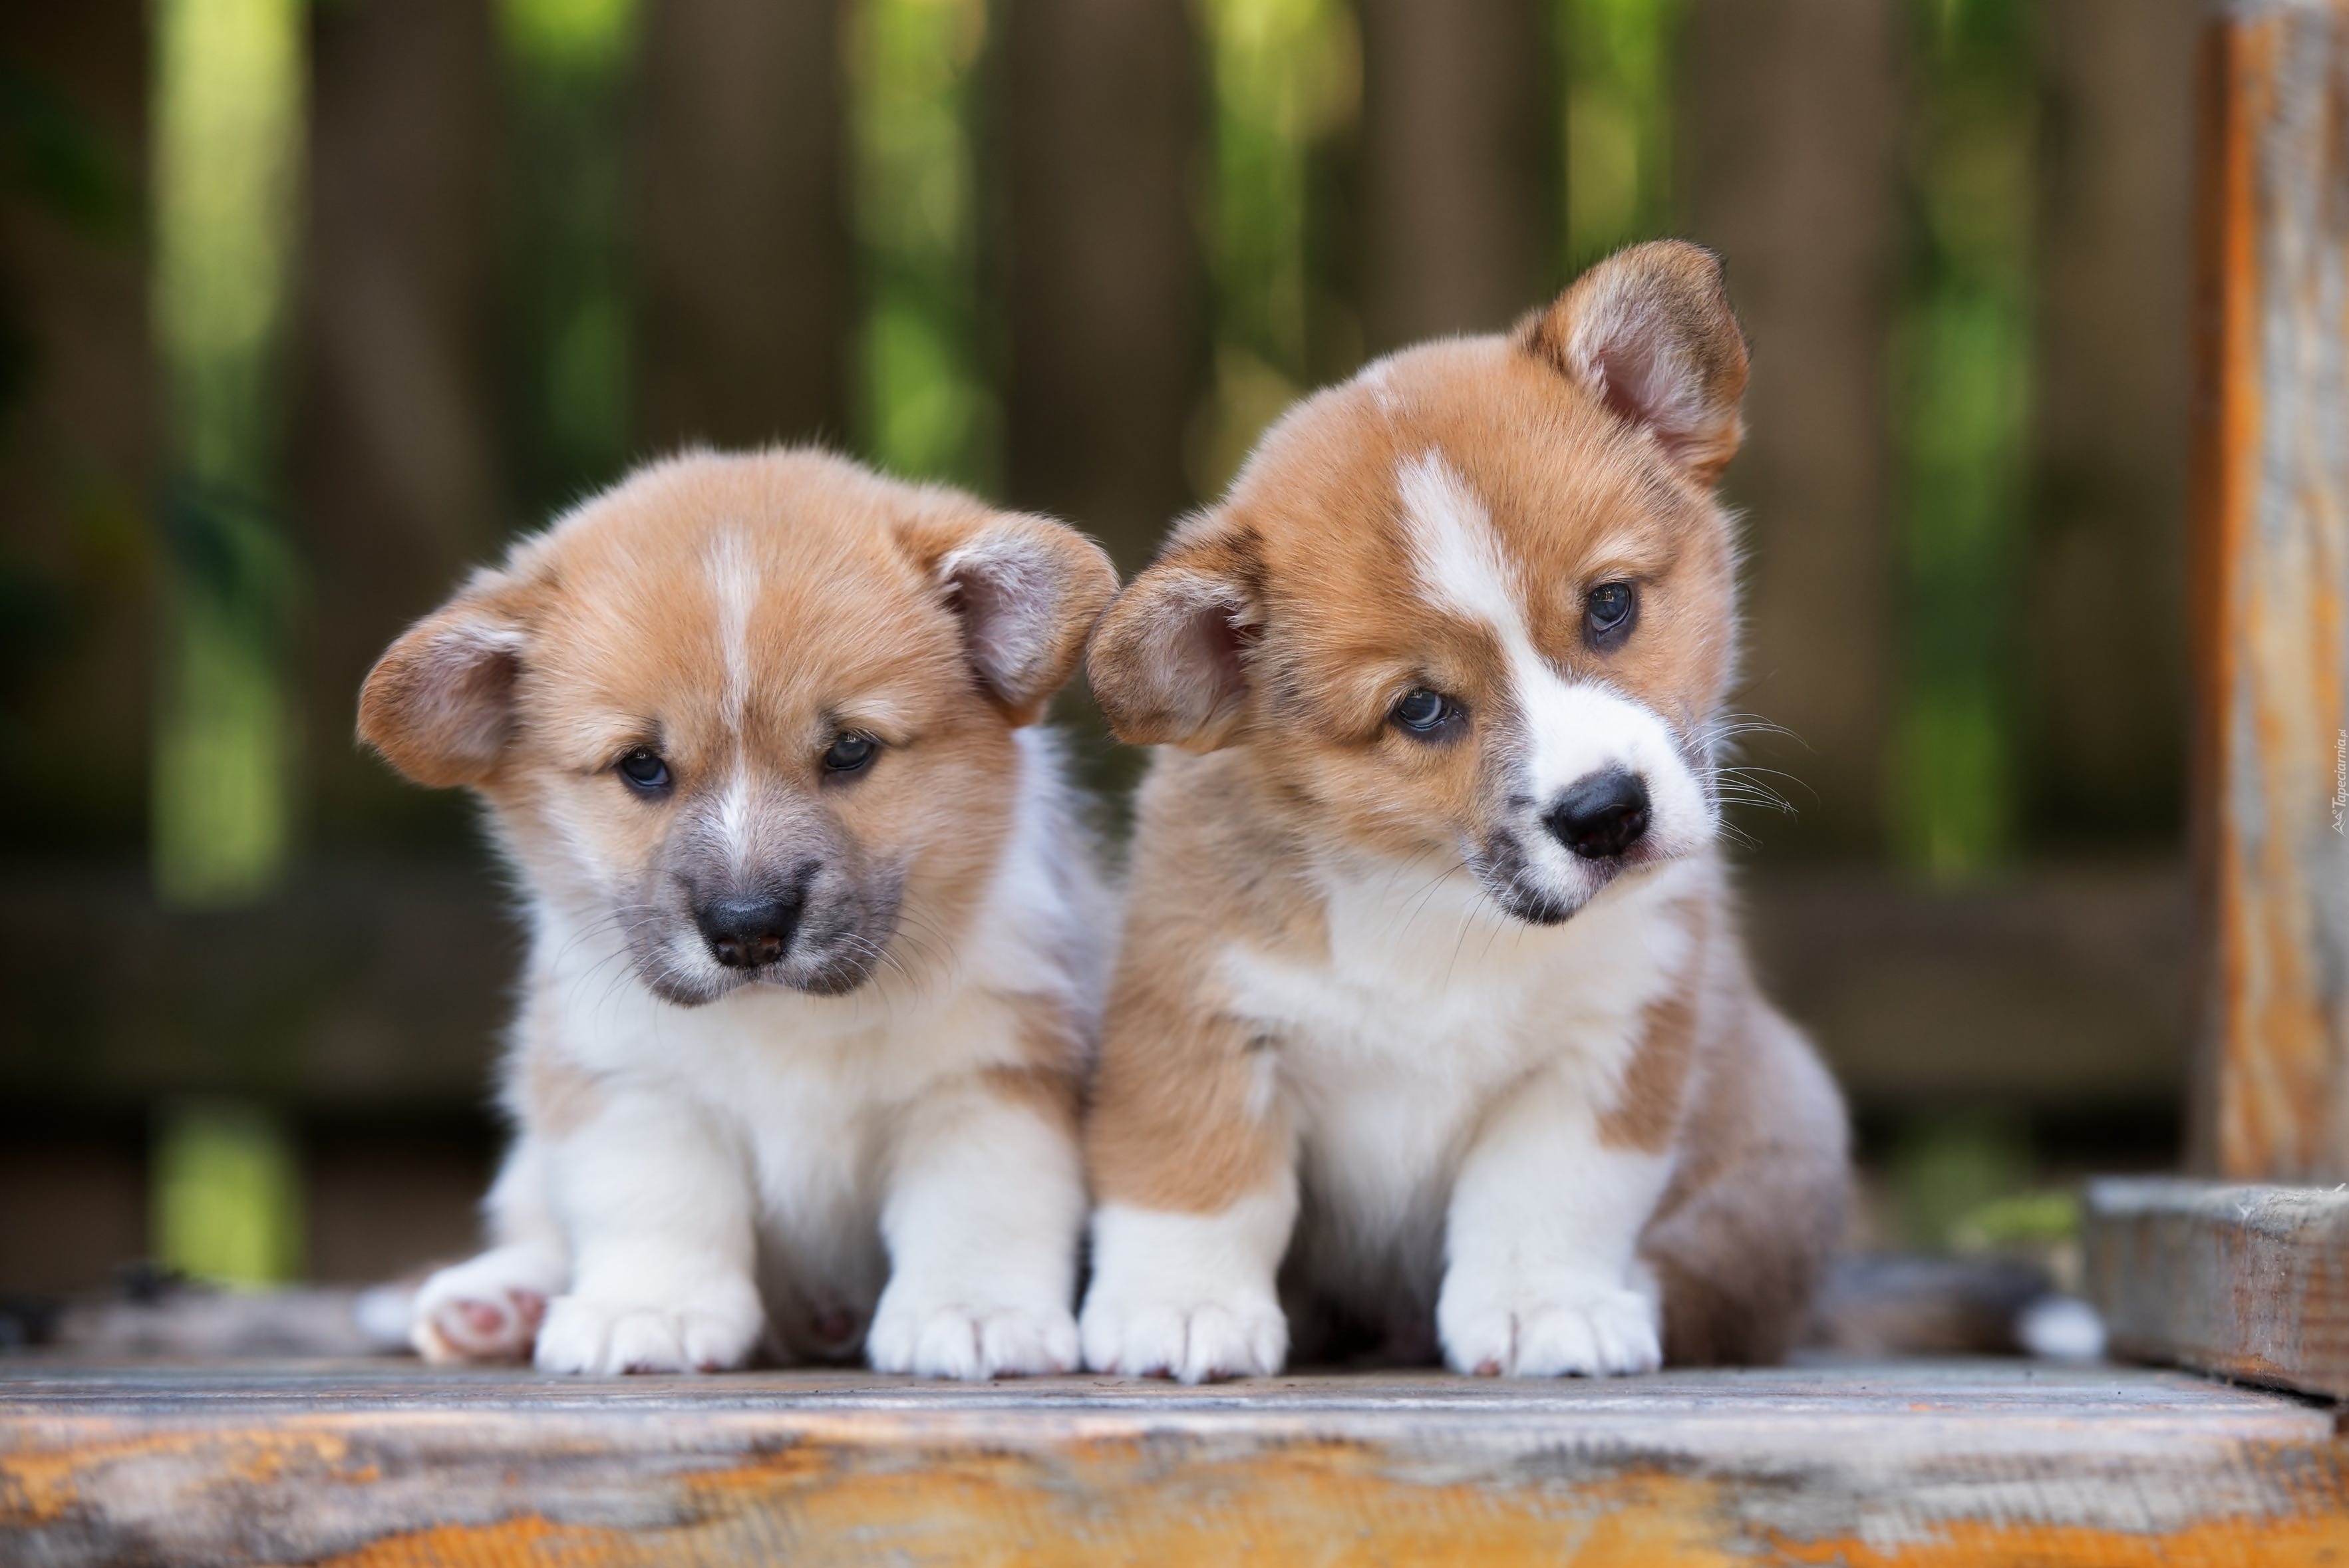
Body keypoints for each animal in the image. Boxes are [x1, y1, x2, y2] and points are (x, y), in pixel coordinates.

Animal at [366, 443, 1118, 1370]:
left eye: (850, 749)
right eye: (641, 765)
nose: (749, 929)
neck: (783, 1018)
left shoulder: (992, 1071)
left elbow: (978, 1206)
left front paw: (973, 1310)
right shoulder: (631, 1080)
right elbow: (657, 1201)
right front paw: (647, 1309)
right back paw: (498, 1300)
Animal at [1076, 239, 1841, 1380]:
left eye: (1609, 605)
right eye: (1420, 708)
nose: (1606, 814)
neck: (1436, 899)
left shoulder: (1610, 1039)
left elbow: (1542, 1195)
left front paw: (1542, 1307)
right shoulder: (1196, 1009)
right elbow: (1198, 1172)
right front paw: (1179, 1307)